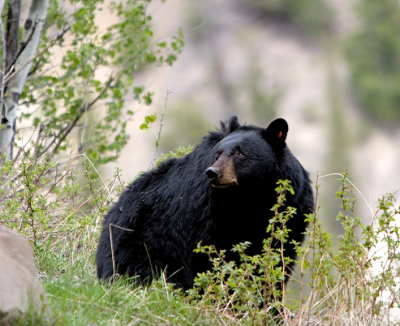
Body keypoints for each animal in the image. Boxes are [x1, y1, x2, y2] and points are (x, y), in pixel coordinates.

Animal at [96, 116, 312, 290]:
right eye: (218, 153)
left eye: (240, 153)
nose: (212, 173)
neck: (250, 197)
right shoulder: (204, 211)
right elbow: (207, 256)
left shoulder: (294, 208)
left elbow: (279, 257)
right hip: (140, 244)